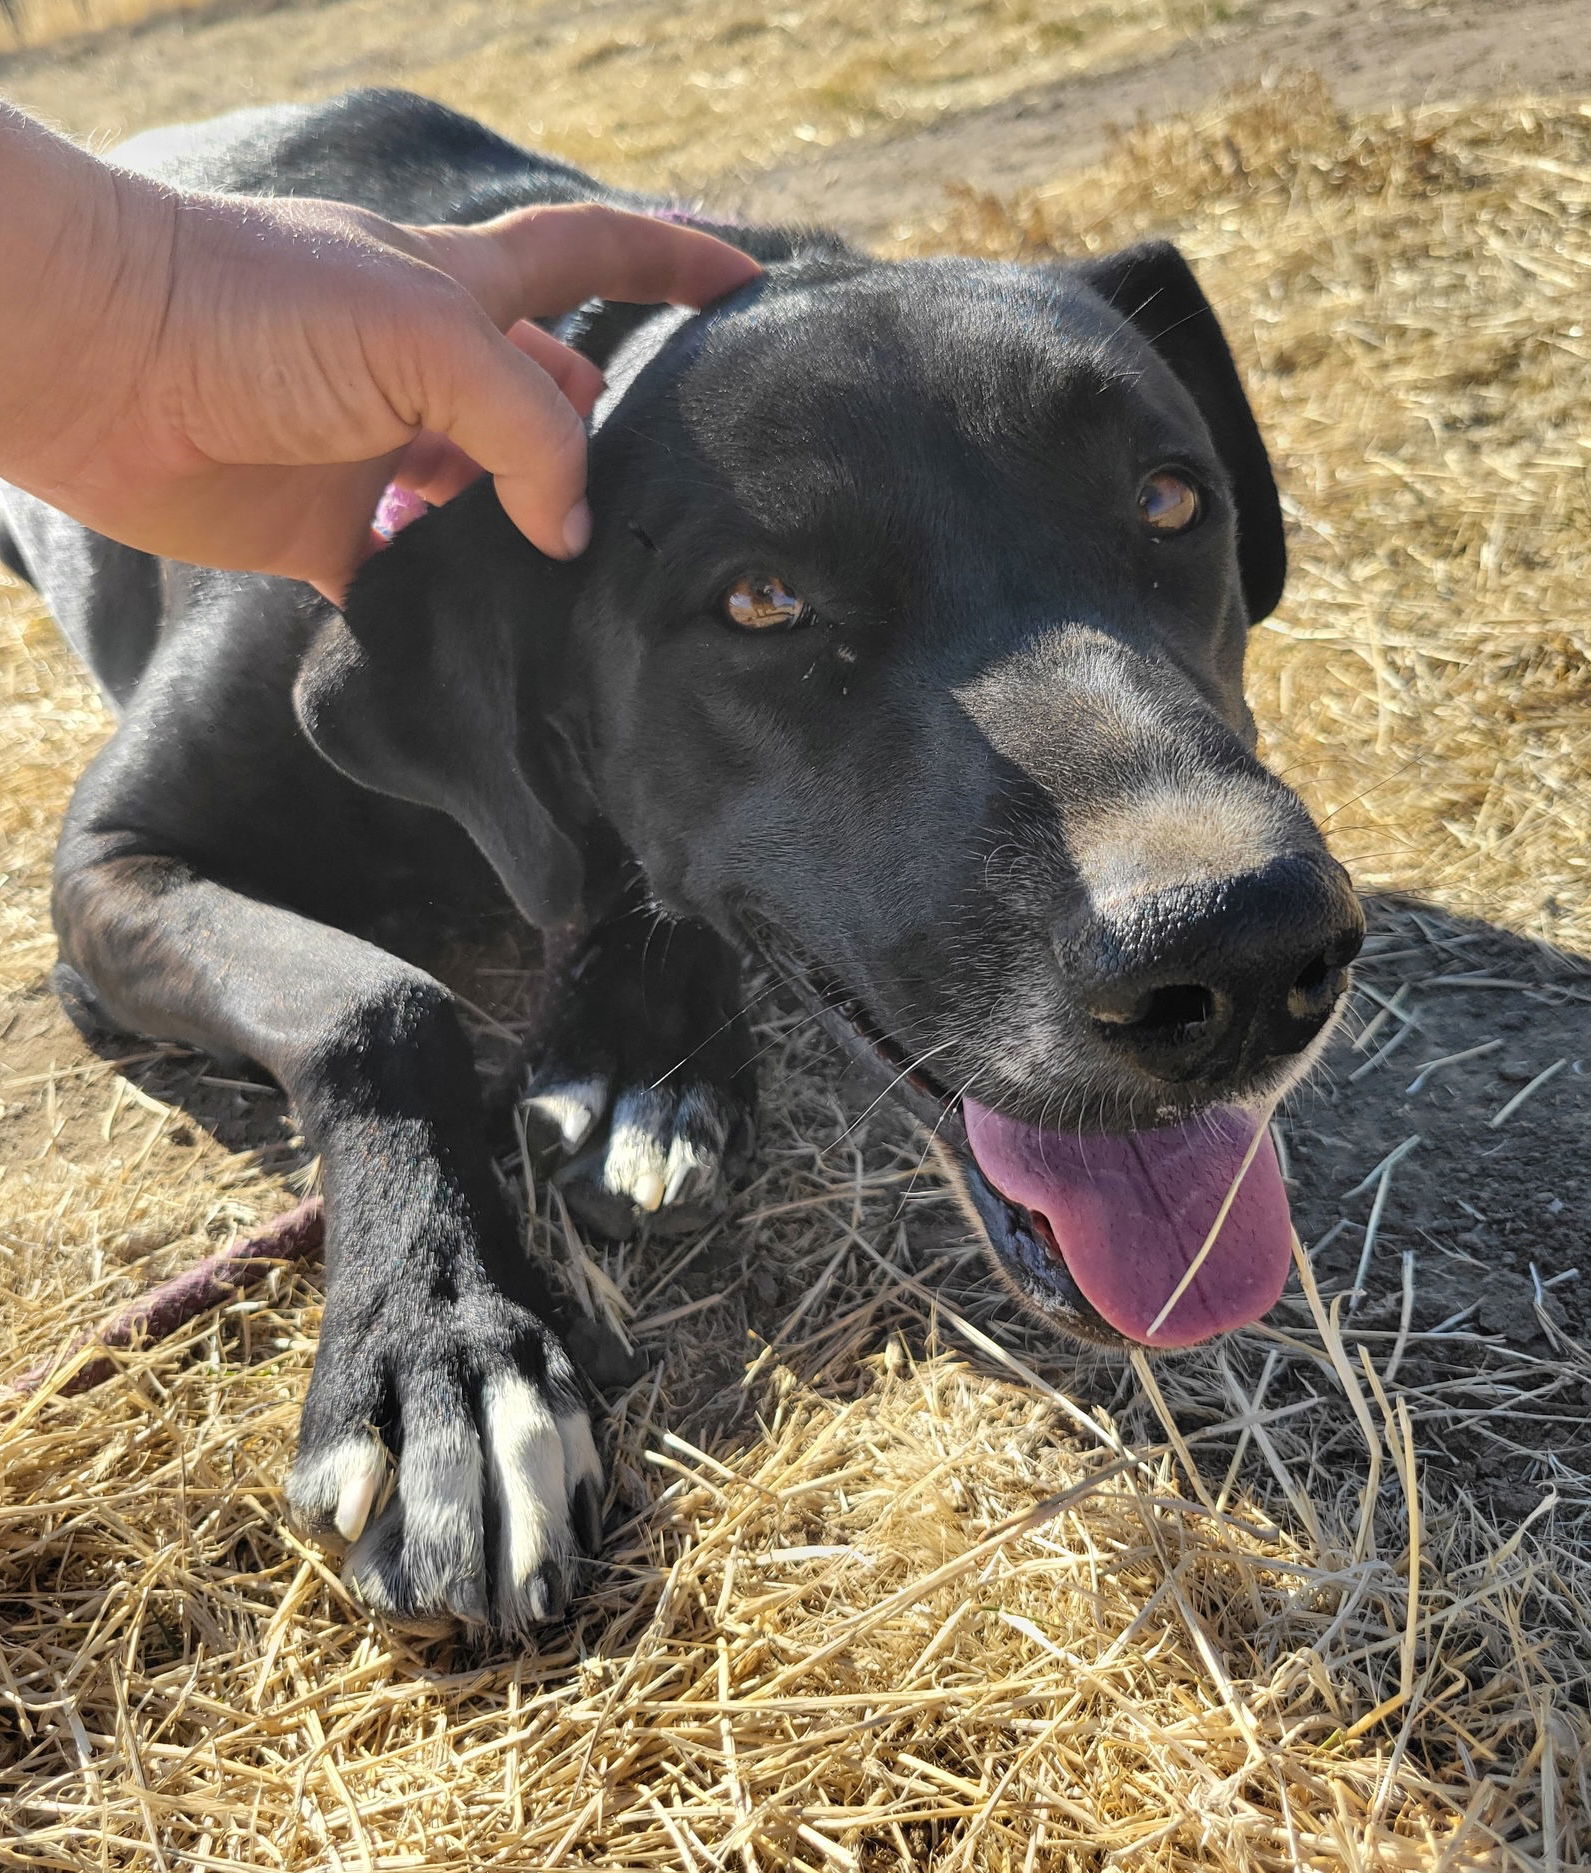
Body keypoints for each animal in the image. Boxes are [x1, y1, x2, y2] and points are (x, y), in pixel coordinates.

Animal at [0, 88, 1356, 1640]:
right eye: (763, 601)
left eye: (1170, 500)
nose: (1243, 950)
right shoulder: (108, 864)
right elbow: (377, 1005)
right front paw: (444, 1356)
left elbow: (641, 888)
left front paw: (646, 1056)